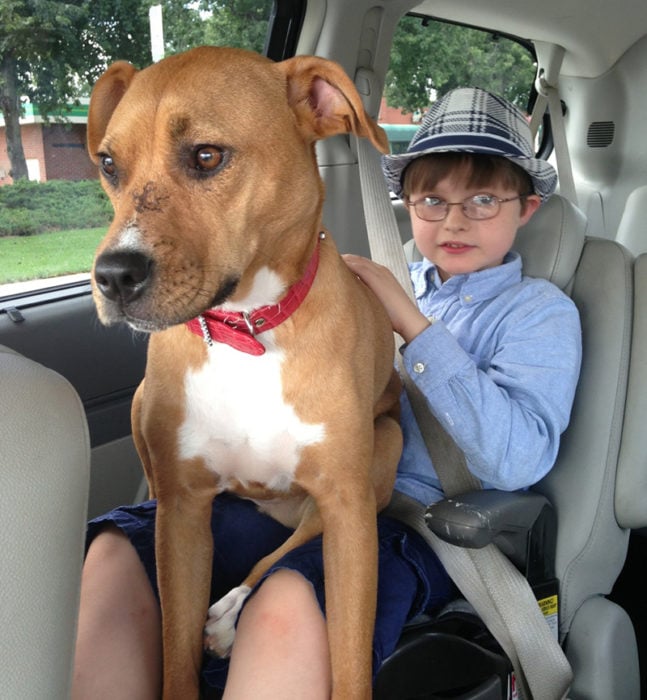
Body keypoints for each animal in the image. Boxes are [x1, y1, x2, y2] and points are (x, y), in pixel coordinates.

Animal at [86, 46, 400, 696]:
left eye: (207, 155)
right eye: (108, 164)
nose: (112, 277)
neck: (247, 332)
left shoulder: (349, 512)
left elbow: (351, 662)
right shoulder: (182, 516)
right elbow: (176, 657)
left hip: (384, 451)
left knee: (281, 552)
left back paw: (230, 615)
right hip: (143, 410)